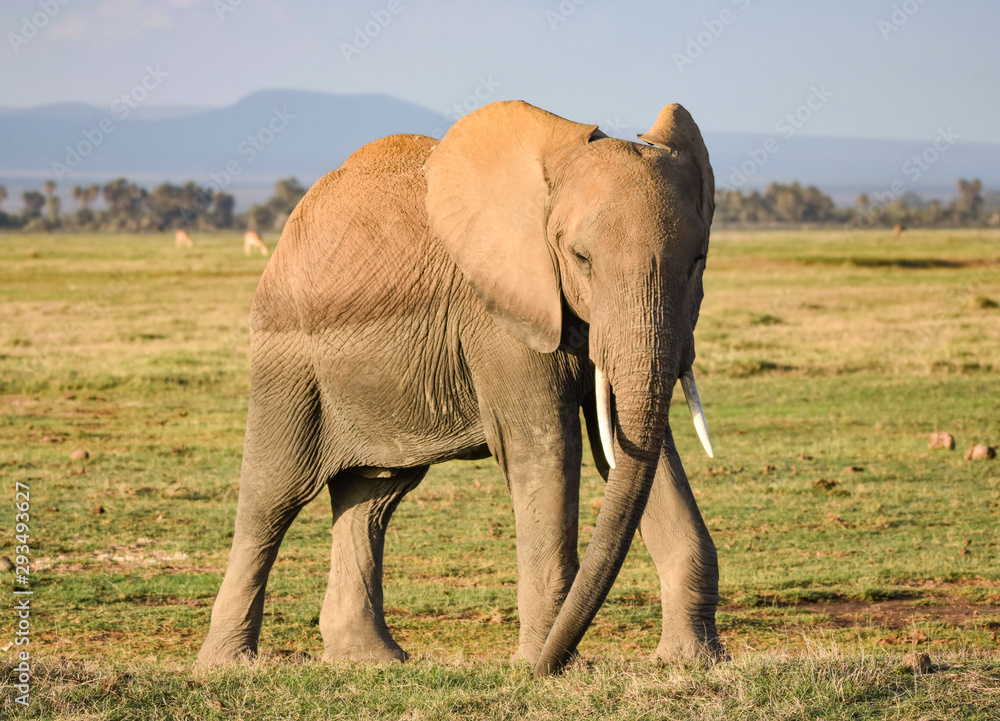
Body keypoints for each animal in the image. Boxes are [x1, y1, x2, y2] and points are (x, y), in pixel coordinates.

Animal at [198, 99, 722, 677]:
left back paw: (370, 661)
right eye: (581, 258)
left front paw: (695, 661)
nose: (552, 663)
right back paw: (225, 666)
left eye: (699, 261)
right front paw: (548, 670)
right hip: (287, 358)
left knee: (374, 495)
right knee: (272, 497)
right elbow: (545, 447)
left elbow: (638, 450)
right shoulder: (499, 314)